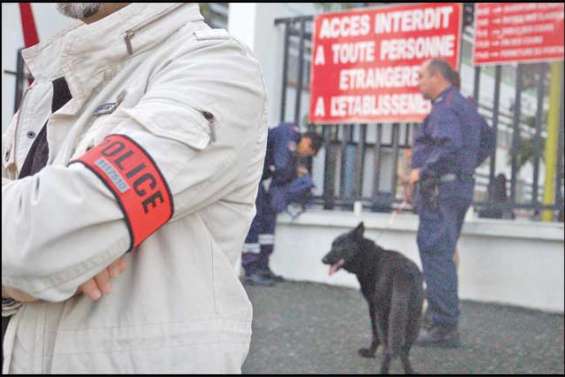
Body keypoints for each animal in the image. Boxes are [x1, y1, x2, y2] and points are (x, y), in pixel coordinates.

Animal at [322, 222, 424, 372]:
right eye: (332, 245)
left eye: (340, 246)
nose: (322, 260)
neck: (368, 256)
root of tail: (402, 273)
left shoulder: (372, 307)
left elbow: (375, 334)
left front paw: (370, 353)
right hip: (413, 318)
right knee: (404, 349)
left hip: (384, 316)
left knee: (388, 348)